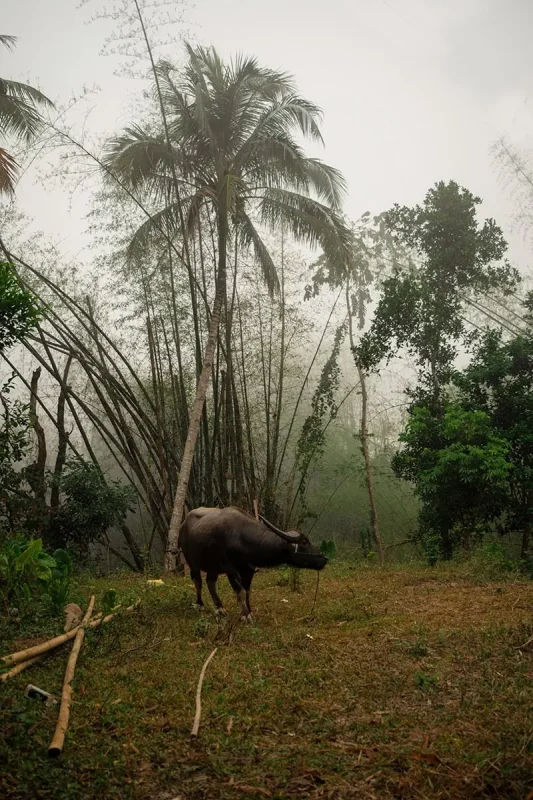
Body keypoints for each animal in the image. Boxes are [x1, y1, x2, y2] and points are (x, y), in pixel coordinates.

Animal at [178, 506, 327, 621]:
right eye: (304, 542)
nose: (324, 558)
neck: (242, 537)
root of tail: (183, 524)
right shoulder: (230, 569)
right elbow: (240, 592)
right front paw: (245, 615)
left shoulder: (248, 570)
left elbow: (248, 591)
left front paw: (249, 611)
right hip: (192, 562)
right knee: (198, 581)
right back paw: (200, 605)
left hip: (213, 567)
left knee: (210, 582)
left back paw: (220, 608)